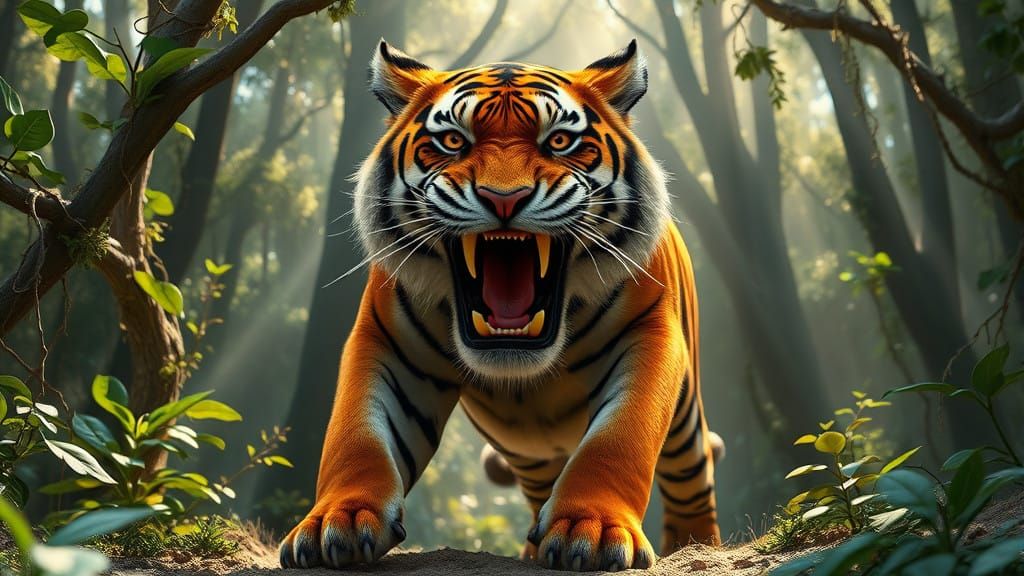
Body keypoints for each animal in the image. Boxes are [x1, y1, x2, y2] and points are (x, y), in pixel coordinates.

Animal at [278, 39, 722, 571]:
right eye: (453, 141)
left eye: (559, 141)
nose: (504, 198)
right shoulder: (383, 344)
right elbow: (355, 435)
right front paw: (338, 520)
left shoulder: (650, 334)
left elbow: (618, 438)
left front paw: (589, 530)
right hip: (528, 452)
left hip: (685, 425)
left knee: (691, 483)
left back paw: (696, 547)